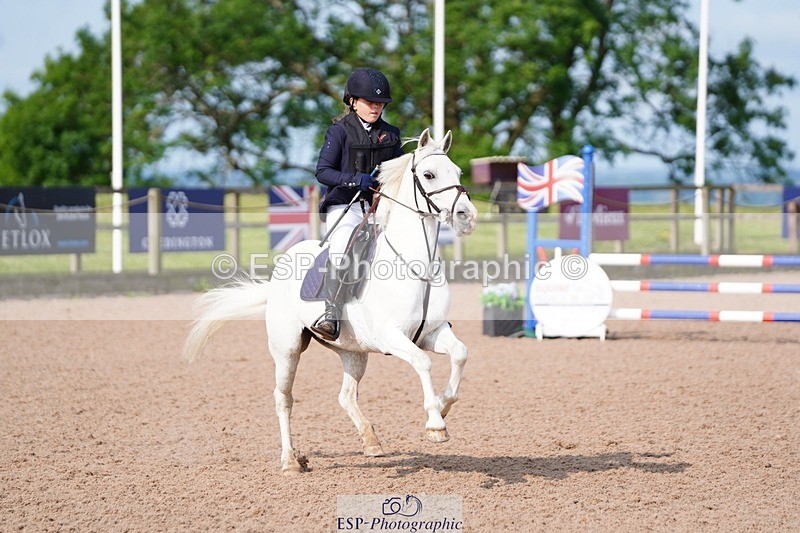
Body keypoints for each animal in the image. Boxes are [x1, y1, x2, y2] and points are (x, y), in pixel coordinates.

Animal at [183, 129, 478, 474]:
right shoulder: (392, 337)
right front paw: (435, 423)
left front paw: (444, 407)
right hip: (287, 350)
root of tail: (281, 267)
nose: (467, 217)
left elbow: (460, 354)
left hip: (354, 352)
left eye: (458, 172)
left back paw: (372, 443)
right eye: (429, 175)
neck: (417, 266)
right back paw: (290, 461)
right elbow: (423, 362)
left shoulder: (431, 333)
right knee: (284, 398)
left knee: (345, 396)